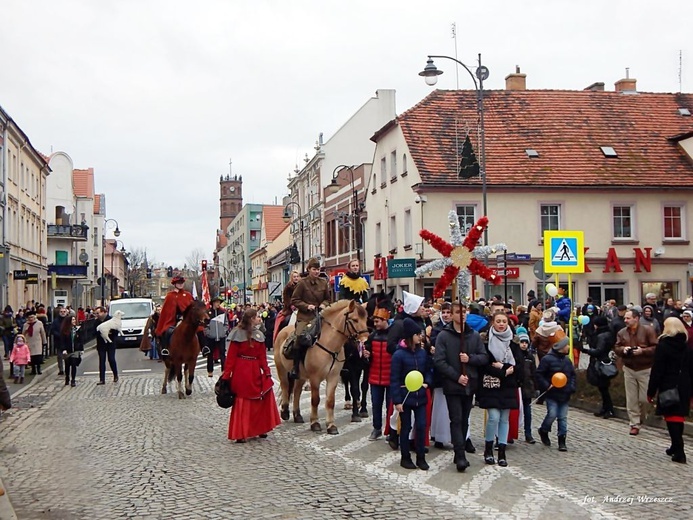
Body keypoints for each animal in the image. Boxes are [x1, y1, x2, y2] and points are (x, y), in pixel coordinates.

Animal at [272, 298, 370, 432]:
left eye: (366, 319)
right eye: (354, 320)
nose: (365, 340)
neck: (329, 344)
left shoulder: (333, 377)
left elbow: (330, 401)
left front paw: (331, 425)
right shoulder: (315, 378)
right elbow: (315, 400)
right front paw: (315, 423)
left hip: (301, 376)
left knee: (297, 391)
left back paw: (297, 415)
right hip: (281, 369)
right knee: (285, 387)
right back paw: (285, 412)